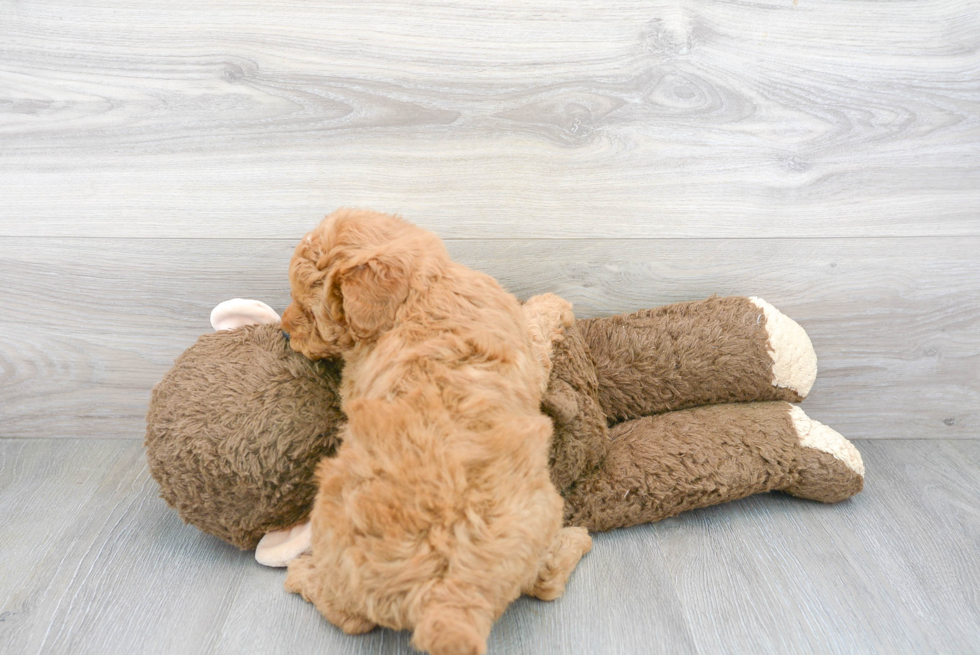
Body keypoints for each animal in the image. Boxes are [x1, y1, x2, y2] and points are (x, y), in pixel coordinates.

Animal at [280, 210, 592, 655]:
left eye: (309, 310)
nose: (286, 330)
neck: (420, 289)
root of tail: (444, 598)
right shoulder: (526, 349)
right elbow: (535, 326)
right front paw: (554, 302)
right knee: (350, 616)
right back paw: (302, 574)